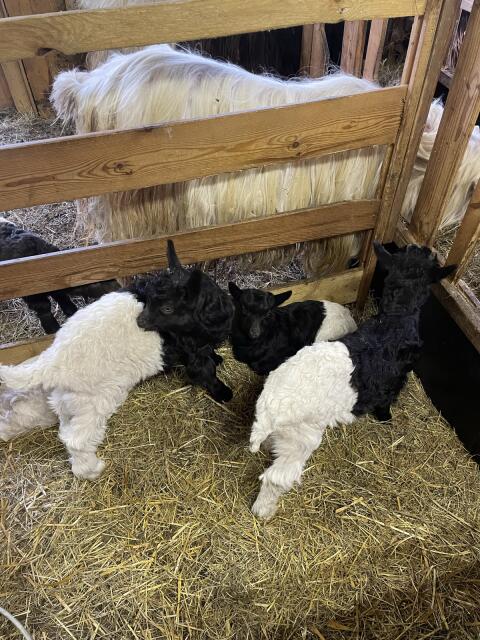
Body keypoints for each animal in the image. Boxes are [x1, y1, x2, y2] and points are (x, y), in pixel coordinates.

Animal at [248, 243, 456, 518]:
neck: (394, 321)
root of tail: (269, 412)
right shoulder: (394, 381)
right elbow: (386, 402)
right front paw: (385, 419)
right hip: (300, 438)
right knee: (277, 477)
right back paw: (263, 510)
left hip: (282, 434)